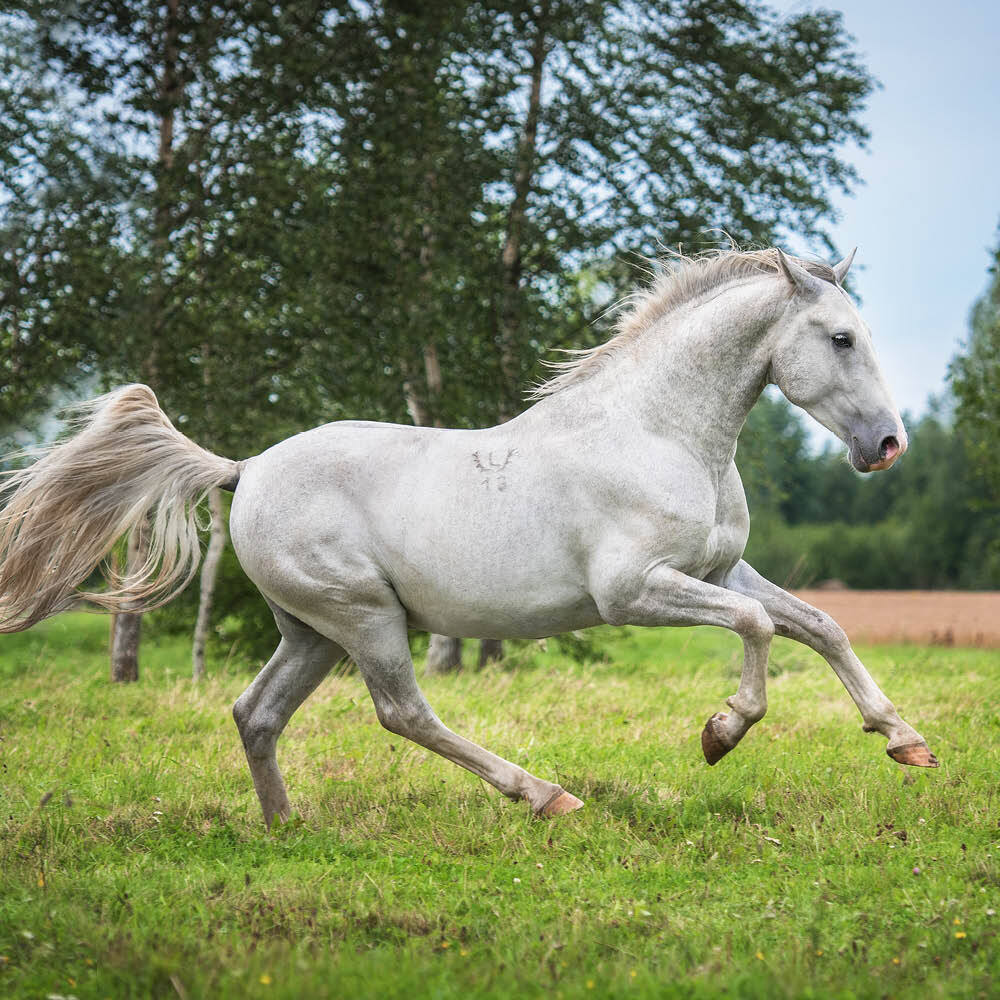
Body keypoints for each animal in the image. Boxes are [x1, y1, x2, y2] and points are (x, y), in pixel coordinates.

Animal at [0, 247, 938, 828]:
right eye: (841, 338)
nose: (889, 445)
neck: (662, 434)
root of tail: (246, 468)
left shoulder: (723, 568)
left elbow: (817, 624)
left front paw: (906, 742)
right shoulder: (635, 592)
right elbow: (759, 630)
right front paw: (722, 732)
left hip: (310, 631)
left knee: (256, 714)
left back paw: (285, 829)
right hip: (366, 619)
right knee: (404, 712)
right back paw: (546, 796)